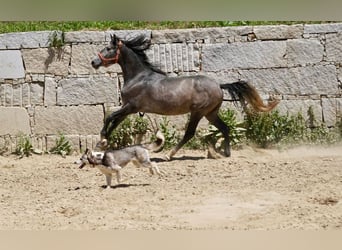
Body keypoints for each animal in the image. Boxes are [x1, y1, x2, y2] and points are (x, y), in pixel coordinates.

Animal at [91, 33, 278, 158]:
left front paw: (101, 140)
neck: (138, 78)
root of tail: (218, 85)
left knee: (190, 133)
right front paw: (103, 143)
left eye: (108, 48)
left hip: (198, 112)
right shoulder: (128, 109)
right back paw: (226, 153)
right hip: (210, 113)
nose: (94, 62)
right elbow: (114, 123)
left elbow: (109, 117)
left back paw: (170, 154)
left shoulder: (131, 107)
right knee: (225, 128)